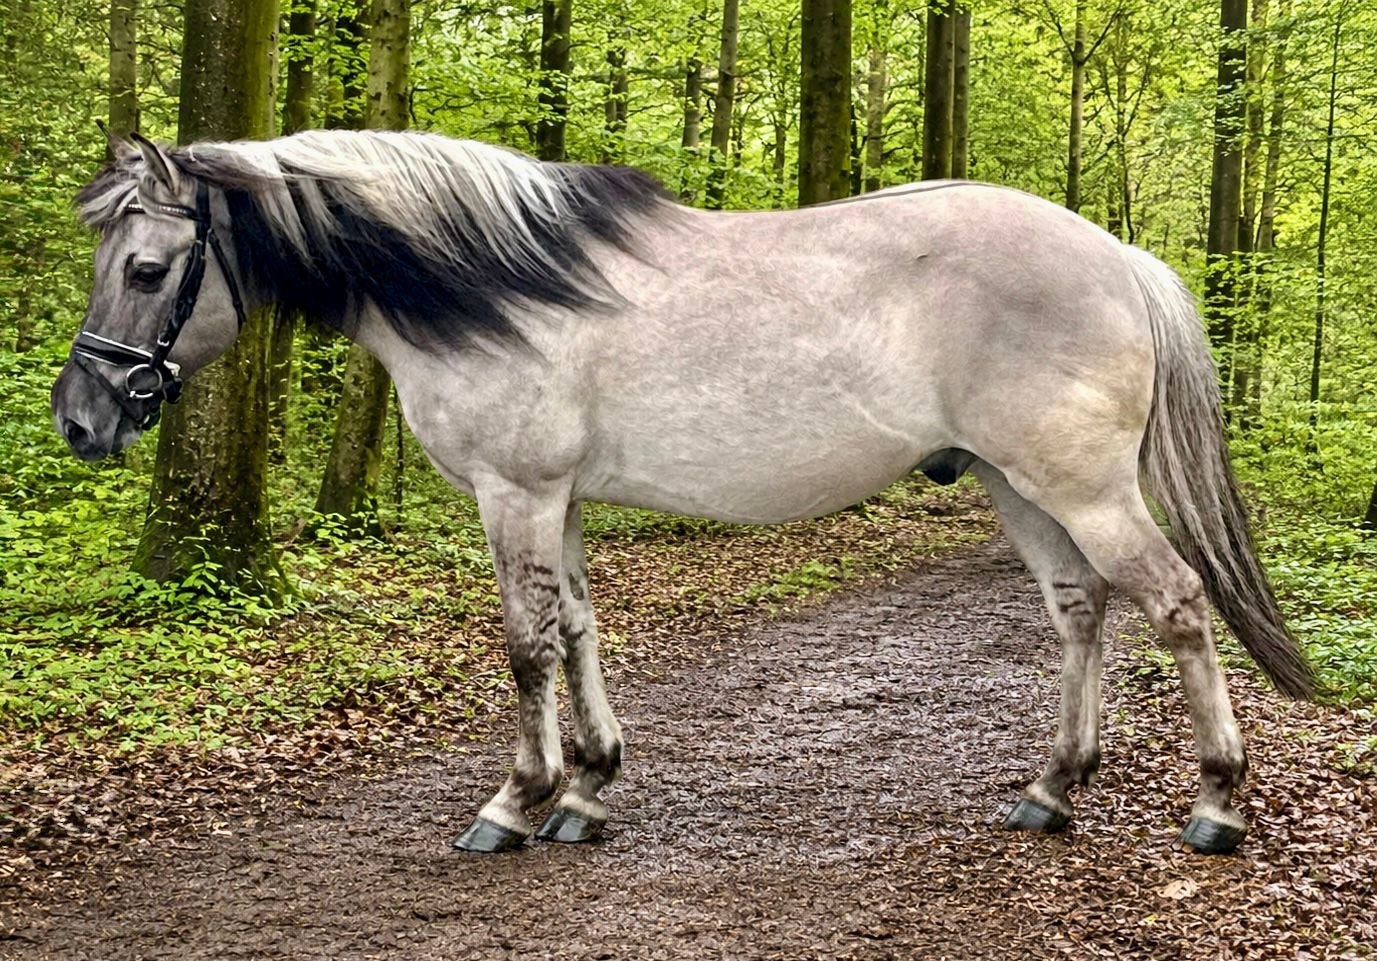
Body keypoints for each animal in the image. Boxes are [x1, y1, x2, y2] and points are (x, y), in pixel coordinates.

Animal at [51, 129, 1314, 856]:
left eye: (149, 269)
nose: (79, 417)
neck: (497, 288)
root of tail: (1121, 258)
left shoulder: (514, 493)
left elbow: (525, 646)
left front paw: (516, 802)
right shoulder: (558, 498)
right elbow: (578, 626)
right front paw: (589, 790)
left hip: (1084, 487)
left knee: (1177, 603)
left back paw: (1217, 803)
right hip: (1021, 487)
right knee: (1081, 611)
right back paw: (1053, 789)